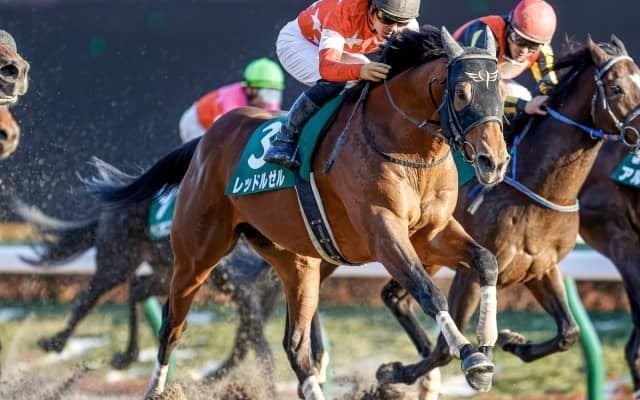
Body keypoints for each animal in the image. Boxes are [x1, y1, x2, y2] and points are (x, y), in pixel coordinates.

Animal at [12, 158, 282, 387]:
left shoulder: (262, 294)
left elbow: (250, 346)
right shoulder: (243, 289)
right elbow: (260, 350)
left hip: (166, 273)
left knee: (137, 290)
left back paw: (125, 355)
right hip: (118, 261)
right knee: (88, 298)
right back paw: (56, 342)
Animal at [87, 26, 509, 399]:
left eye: (501, 91)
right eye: (461, 92)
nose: (494, 161)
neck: (408, 148)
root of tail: (206, 141)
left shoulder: (431, 232)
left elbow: (486, 261)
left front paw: (486, 343)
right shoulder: (384, 232)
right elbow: (427, 291)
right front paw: (471, 356)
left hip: (298, 263)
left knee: (295, 344)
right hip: (195, 256)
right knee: (173, 326)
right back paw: (155, 387)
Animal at [364, 35, 640, 395]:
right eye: (616, 88)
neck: (536, 192)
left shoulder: (541, 268)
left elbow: (568, 332)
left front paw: (512, 341)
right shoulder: (469, 273)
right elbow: (445, 349)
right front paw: (392, 372)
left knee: (395, 297)